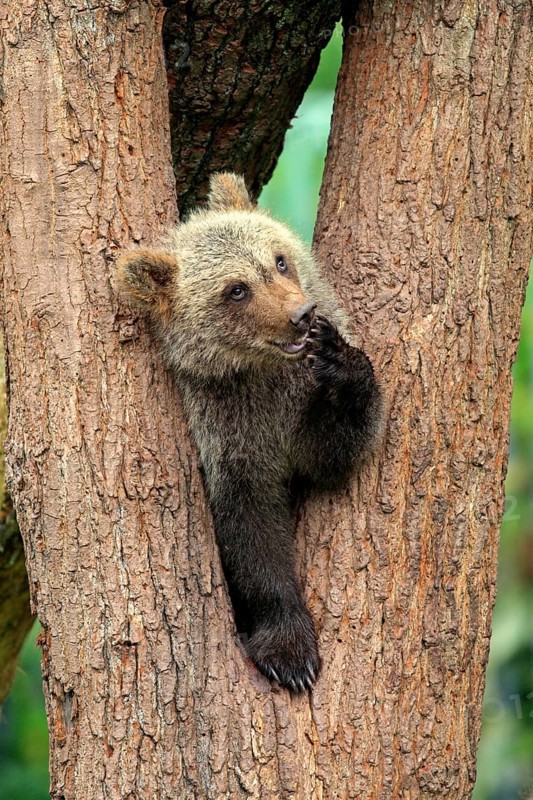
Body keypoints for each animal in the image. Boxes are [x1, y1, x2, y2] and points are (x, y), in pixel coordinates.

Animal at [117, 173, 382, 693]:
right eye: (236, 290)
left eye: (278, 259)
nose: (302, 314)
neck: (258, 373)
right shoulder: (226, 428)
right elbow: (249, 529)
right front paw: (290, 652)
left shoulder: (293, 405)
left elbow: (332, 452)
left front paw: (338, 355)